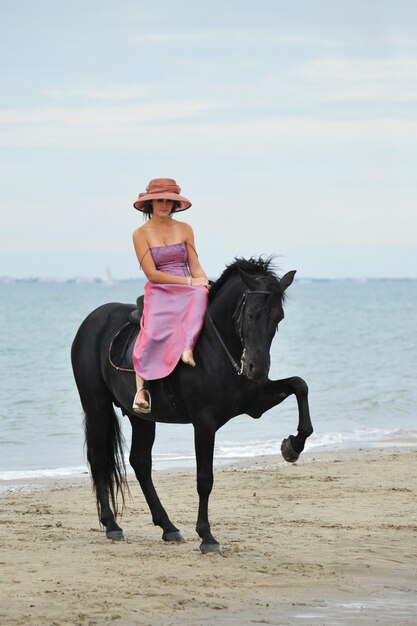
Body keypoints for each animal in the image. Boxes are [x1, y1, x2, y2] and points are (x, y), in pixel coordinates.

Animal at [70, 256, 312, 552]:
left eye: (278, 317)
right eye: (252, 314)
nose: (257, 368)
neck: (215, 348)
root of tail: (92, 320)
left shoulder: (255, 403)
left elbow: (300, 385)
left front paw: (293, 445)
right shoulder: (204, 422)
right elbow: (204, 478)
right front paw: (207, 536)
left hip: (141, 417)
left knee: (140, 462)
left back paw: (168, 526)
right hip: (97, 406)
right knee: (99, 458)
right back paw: (112, 524)